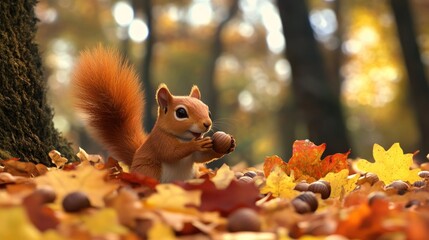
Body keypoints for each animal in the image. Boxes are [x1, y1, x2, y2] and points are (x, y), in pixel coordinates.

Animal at [72, 46, 236, 183]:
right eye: (181, 113)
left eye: (208, 111)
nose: (207, 124)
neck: (183, 138)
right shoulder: (159, 141)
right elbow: (172, 152)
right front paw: (195, 144)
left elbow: (201, 158)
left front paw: (229, 145)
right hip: (149, 170)